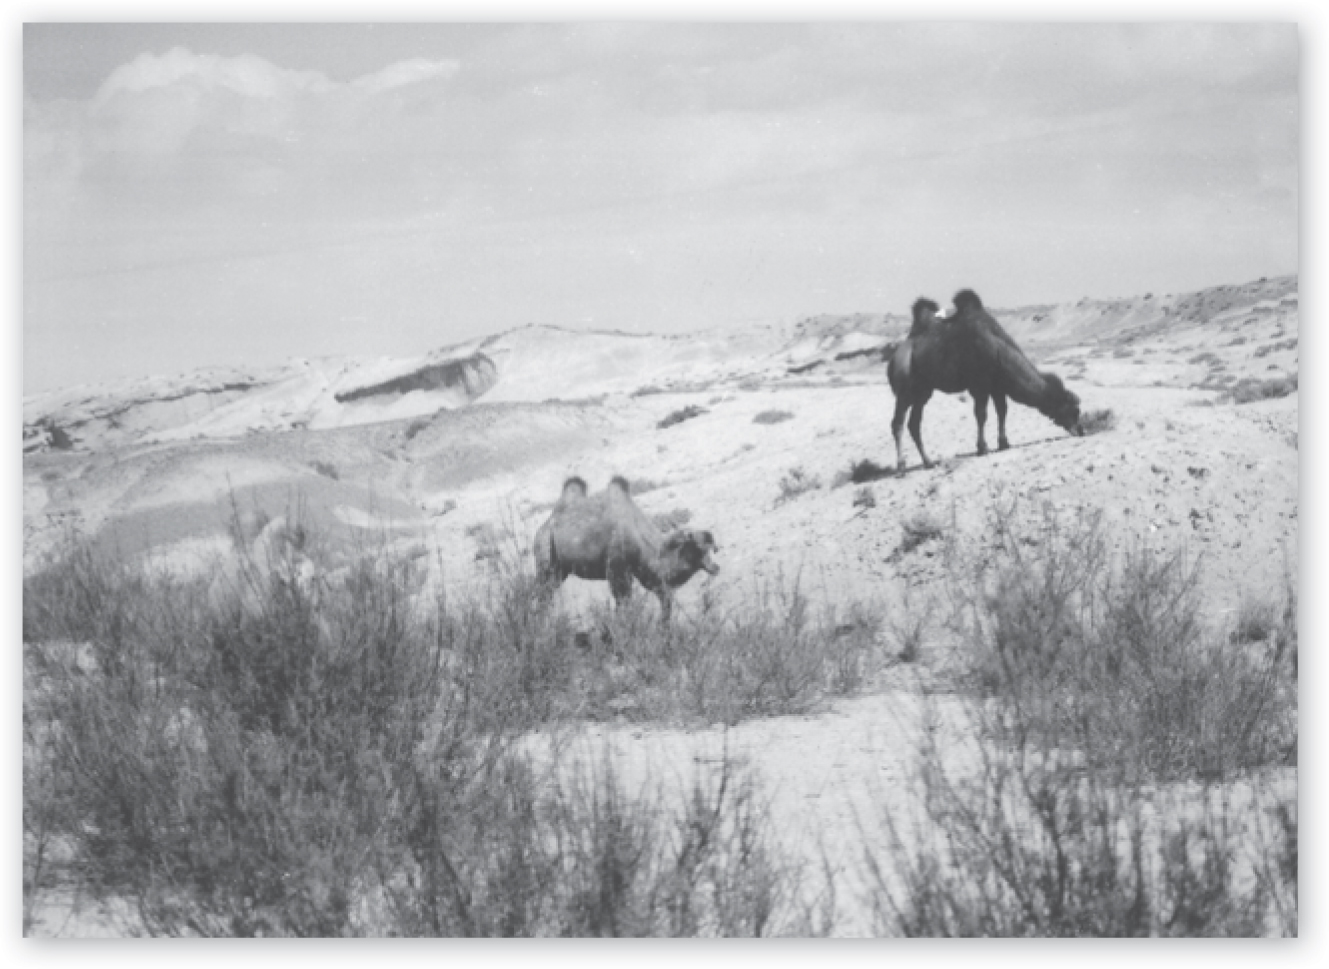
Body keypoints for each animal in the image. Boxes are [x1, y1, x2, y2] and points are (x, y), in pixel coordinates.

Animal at [528, 473, 722, 619]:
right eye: (699, 547)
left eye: (712, 547)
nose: (716, 567)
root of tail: (546, 524)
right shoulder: (617, 569)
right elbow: (624, 602)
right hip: (546, 555)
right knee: (542, 590)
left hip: (561, 569)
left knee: (547, 593)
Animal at [882, 287, 1079, 467]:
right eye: (1074, 410)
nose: (1081, 430)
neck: (998, 348)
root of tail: (894, 358)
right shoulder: (979, 385)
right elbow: (981, 414)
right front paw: (982, 448)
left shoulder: (997, 386)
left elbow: (1002, 411)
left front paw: (1003, 443)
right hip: (905, 389)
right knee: (898, 423)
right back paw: (901, 465)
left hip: (923, 392)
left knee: (914, 424)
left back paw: (929, 462)